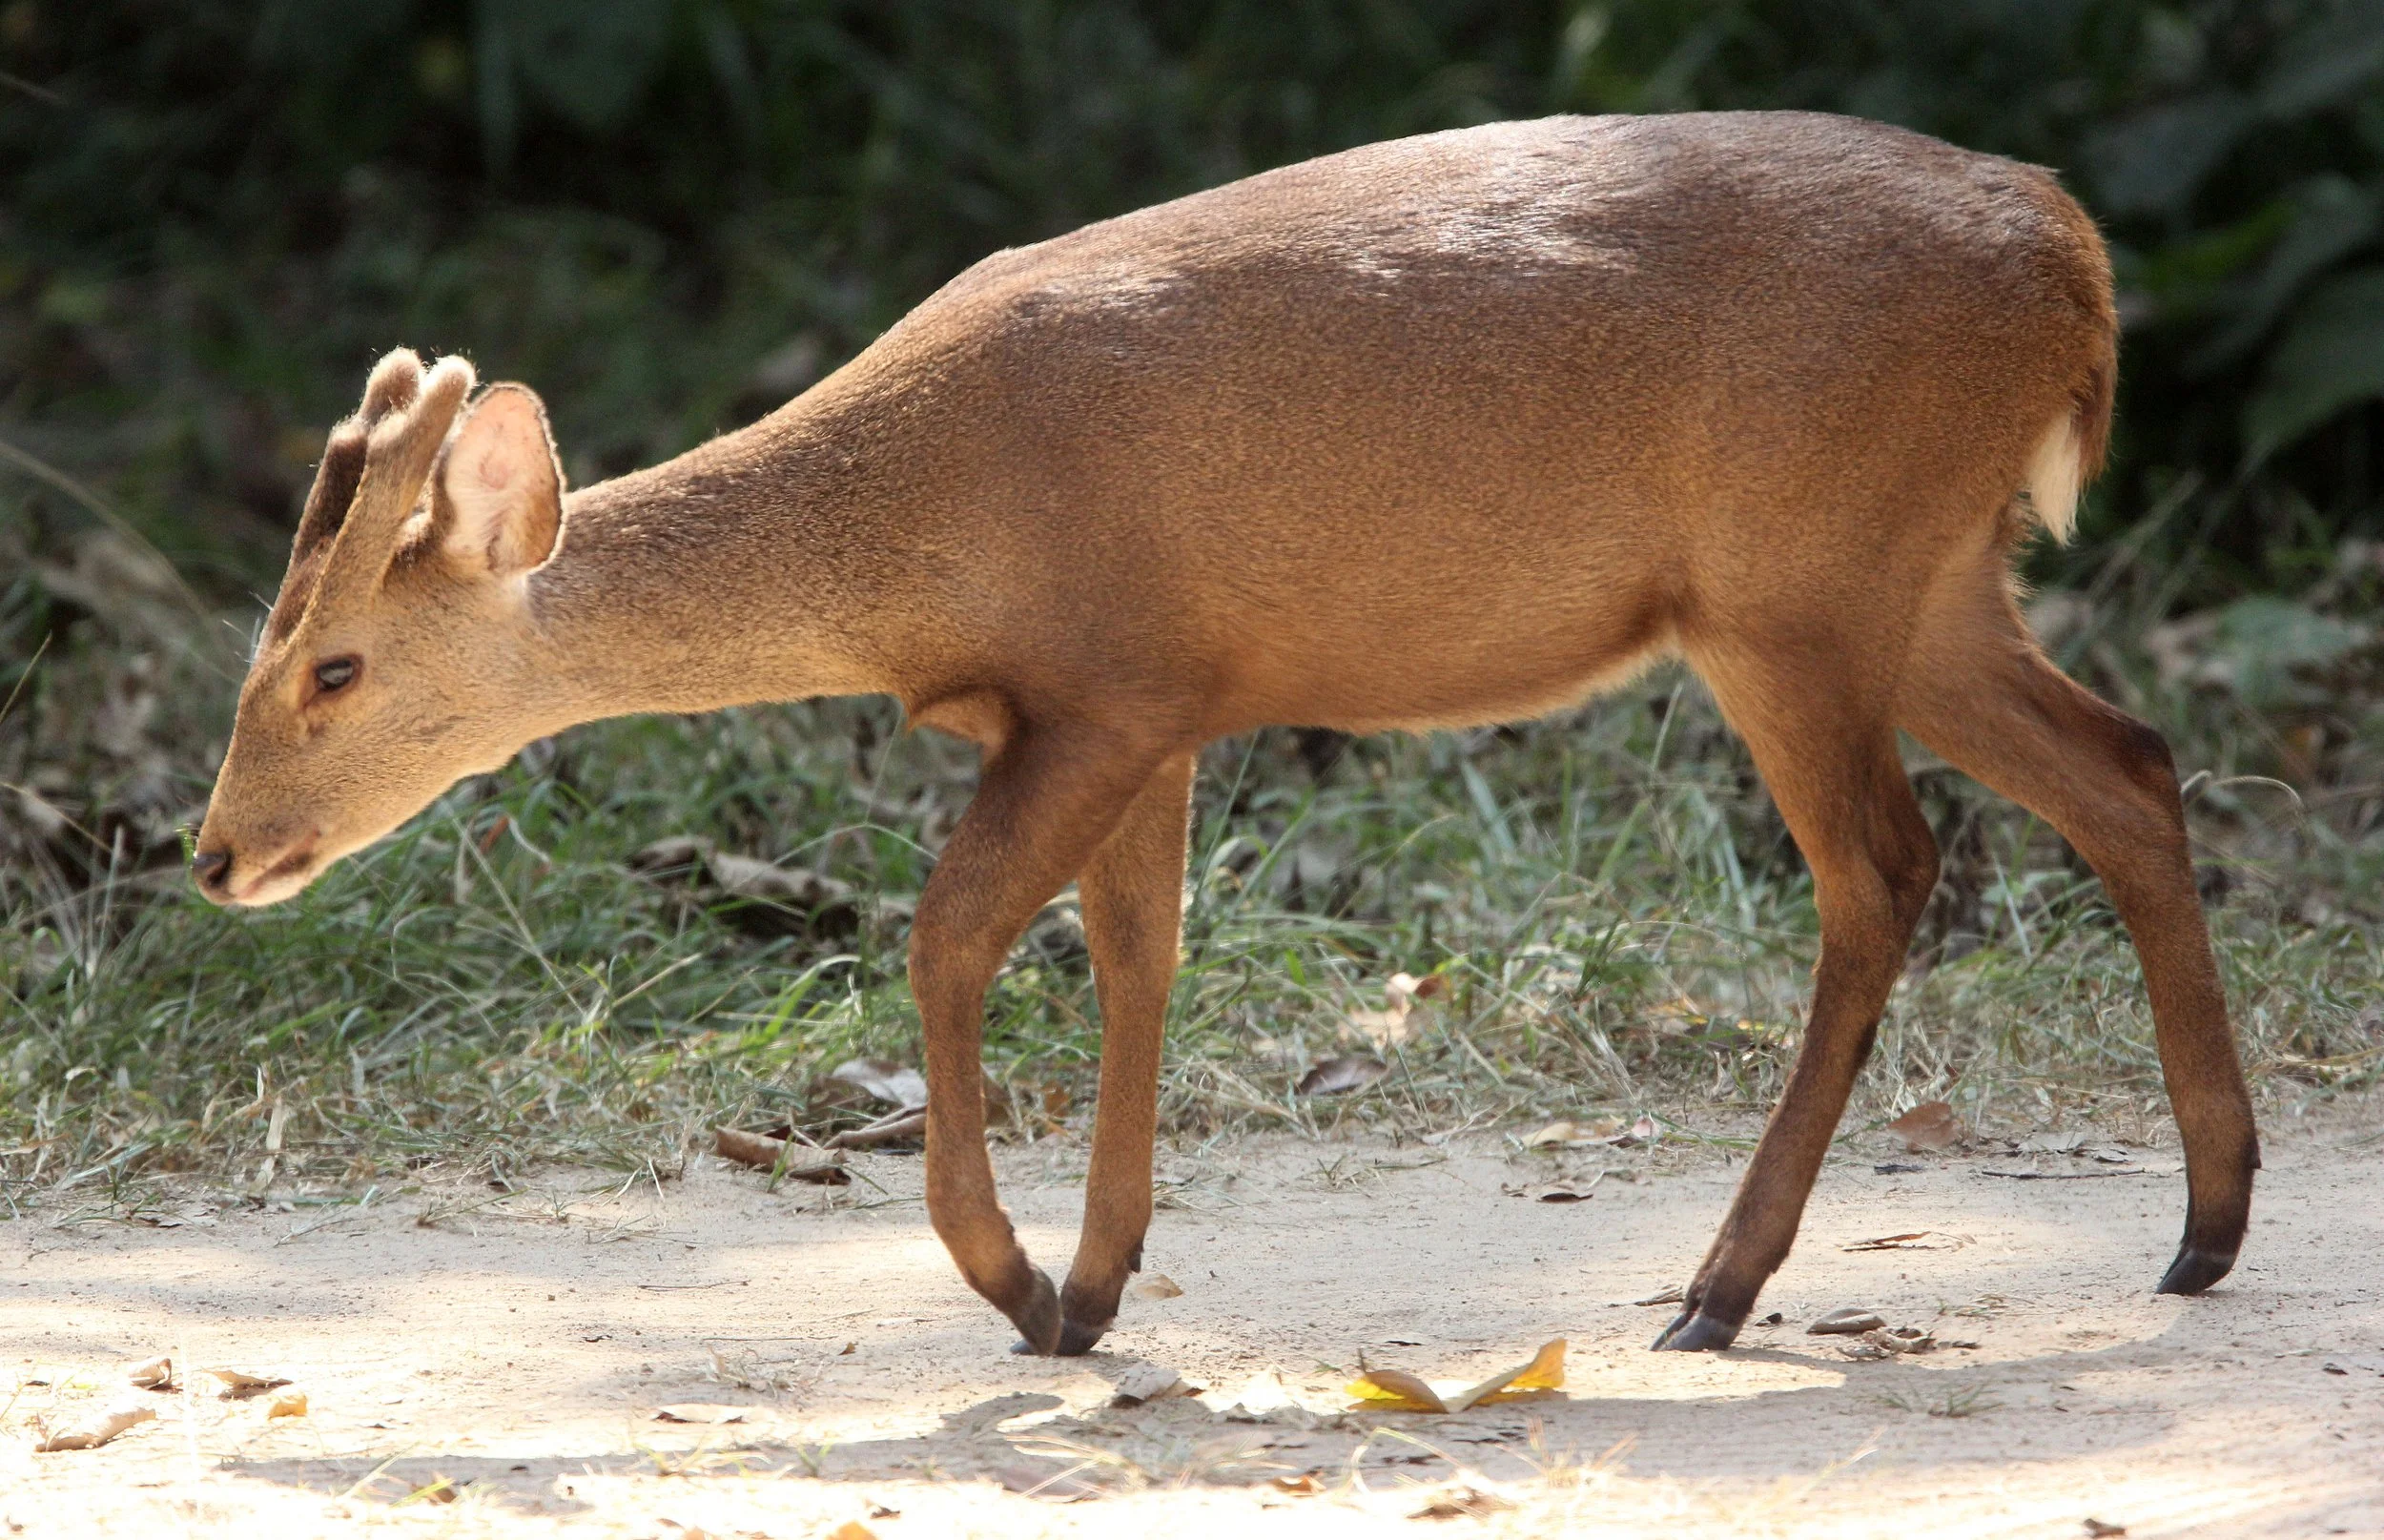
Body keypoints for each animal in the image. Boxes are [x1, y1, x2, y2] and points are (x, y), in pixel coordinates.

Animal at [194, 111, 2258, 1358]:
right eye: (255, 654)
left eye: (333, 669)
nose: (213, 853)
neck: (924, 534)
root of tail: (2074, 269)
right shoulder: (1164, 703)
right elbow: (1140, 958)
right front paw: (1097, 1285)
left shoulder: (1110, 682)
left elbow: (953, 935)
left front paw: (1016, 1280)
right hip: (1922, 583)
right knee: (2126, 770)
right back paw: (2202, 1228)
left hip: (1797, 583)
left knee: (1881, 871)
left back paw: (1717, 1287)